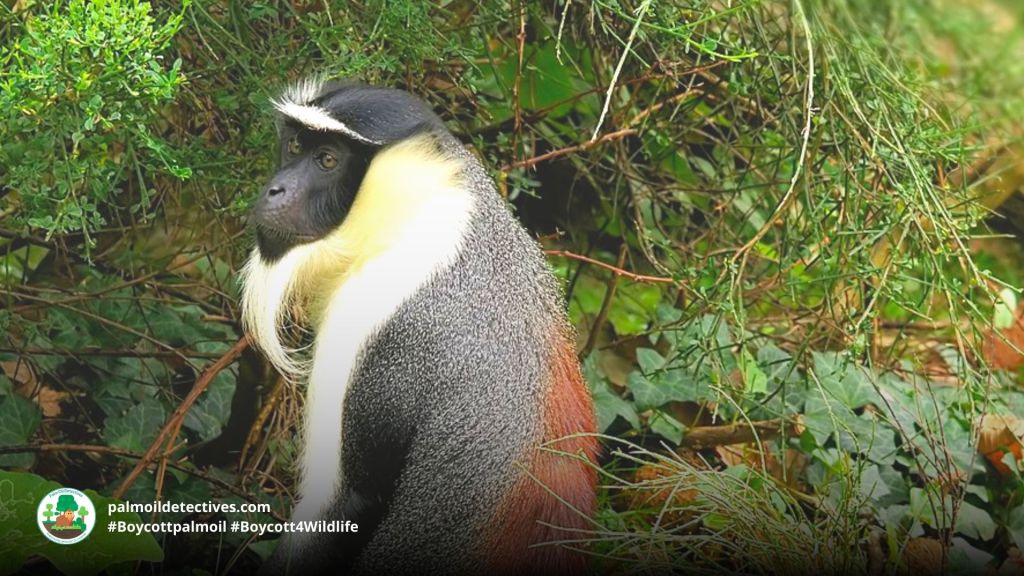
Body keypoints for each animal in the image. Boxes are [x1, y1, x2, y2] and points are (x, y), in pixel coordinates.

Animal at [240, 79, 598, 575]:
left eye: (327, 160)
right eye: (295, 145)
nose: (275, 190)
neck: (411, 220)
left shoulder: (369, 321)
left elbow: (349, 502)